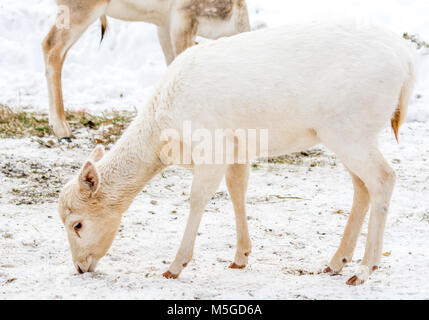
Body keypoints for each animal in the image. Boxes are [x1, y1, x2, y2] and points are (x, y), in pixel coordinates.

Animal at [57, 23, 414, 288]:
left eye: (77, 224)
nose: (79, 267)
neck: (163, 137)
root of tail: (408, 65)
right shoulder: (236, 149)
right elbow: (237, 190)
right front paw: (240, 257)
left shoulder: (212, 146)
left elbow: (198, 198)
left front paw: (174, 266)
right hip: (349, 134)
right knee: (362, 187)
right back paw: (336, 262)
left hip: (349, 130)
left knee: (384, 178)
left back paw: (365, 269)